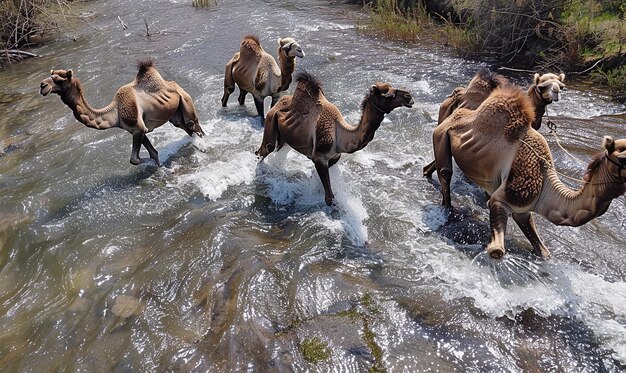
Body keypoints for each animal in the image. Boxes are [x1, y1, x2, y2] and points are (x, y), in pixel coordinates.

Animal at [39, 60, 205, 166]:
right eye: (51, 76)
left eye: (60, 80)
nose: (42, 85)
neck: (116, 112)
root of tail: (174, 84)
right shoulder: (136, 130)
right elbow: (153, 153)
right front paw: (158, 164)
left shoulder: (138, 128)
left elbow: (135, 160)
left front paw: (158, 165)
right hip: (175, 115)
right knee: (186, 128)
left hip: (185, 101)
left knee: (194, 125)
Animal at [256, 72, 412, 206]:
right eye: (388, 95)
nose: (409, 96)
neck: (340, 135)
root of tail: (278, 102)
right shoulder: (319, 158)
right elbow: (329, 198)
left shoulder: (334, 158)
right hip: (270, 119)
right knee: (265, 149)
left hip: (286, 137)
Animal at [428, 85, 624, 258]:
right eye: (622, 159)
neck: (545, 181)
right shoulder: (503, 199)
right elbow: (497, 251)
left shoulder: (523, 210)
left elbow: (543, 251)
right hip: (441, 133)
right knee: (445, 172)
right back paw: (448, 211)